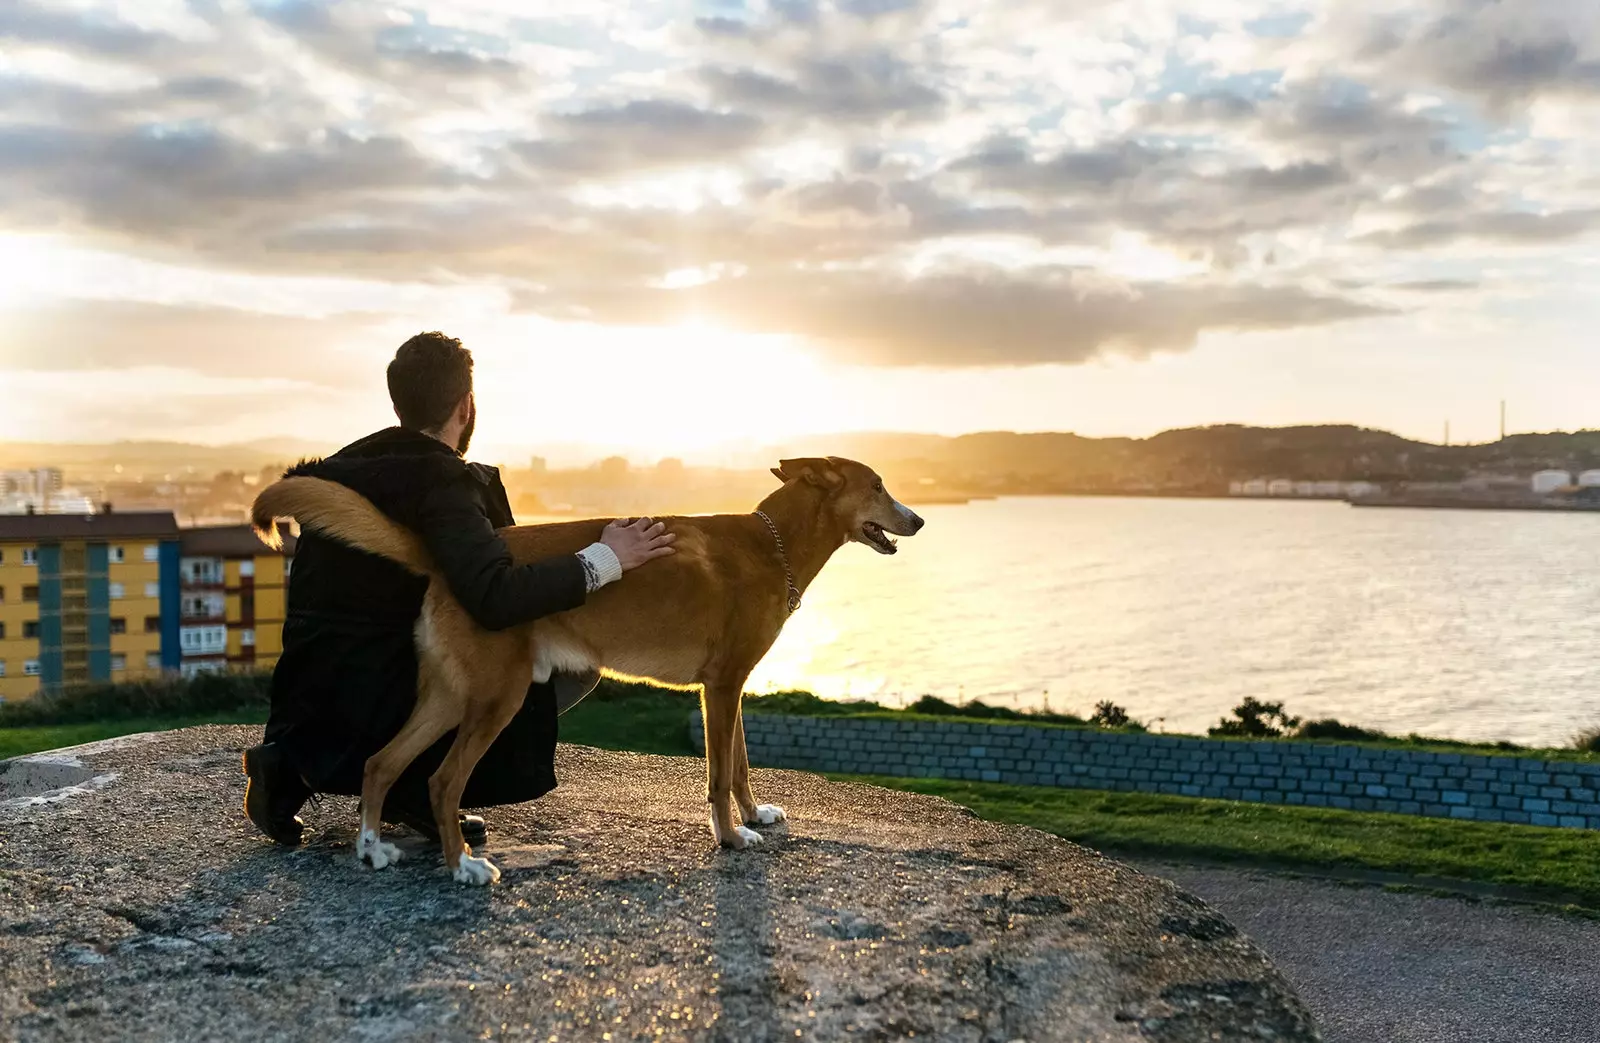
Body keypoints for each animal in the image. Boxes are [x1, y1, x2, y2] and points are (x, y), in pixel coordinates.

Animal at [249, 460, 928, 883]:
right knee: (441, 780)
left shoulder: (729, 688)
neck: (773, 544)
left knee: (381, 762)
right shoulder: (722, 686)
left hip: (448, 696)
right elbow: (718, 774)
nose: (919, 519)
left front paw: (755, 816)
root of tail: (453, 563)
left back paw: (372, 849)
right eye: (877, 484)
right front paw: (731, 839)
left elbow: (738, 763)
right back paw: (461, 866)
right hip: (498, 698)